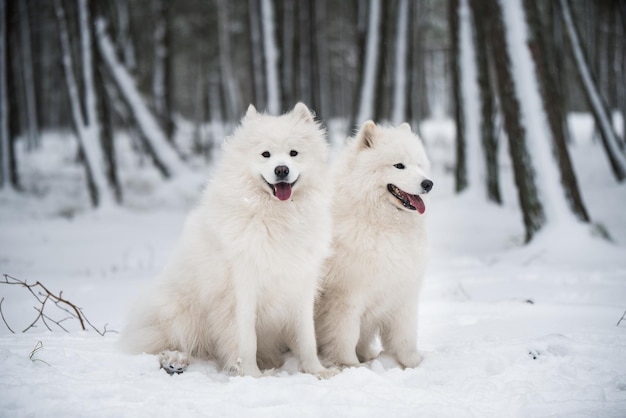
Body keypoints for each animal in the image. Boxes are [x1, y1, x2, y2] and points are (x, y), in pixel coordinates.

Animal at [122, 103, 336, 378]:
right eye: (265, 154)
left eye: (293, 153)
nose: (282, 170)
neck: (276, 216)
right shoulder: (241, 287)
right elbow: (246, 338)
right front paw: (251, 375)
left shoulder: (300, 284)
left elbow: (306, 336)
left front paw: (317, 371)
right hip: (181, 313)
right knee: (173, 343)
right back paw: (174, 360)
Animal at [314, 121, 432, 370]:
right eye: (399, 165)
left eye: (419, 165)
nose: (428, 183)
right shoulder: (345, 297)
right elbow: (345, 335)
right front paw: (350, 366)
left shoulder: (403, 292)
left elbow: (405, 334)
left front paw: (411, 363)